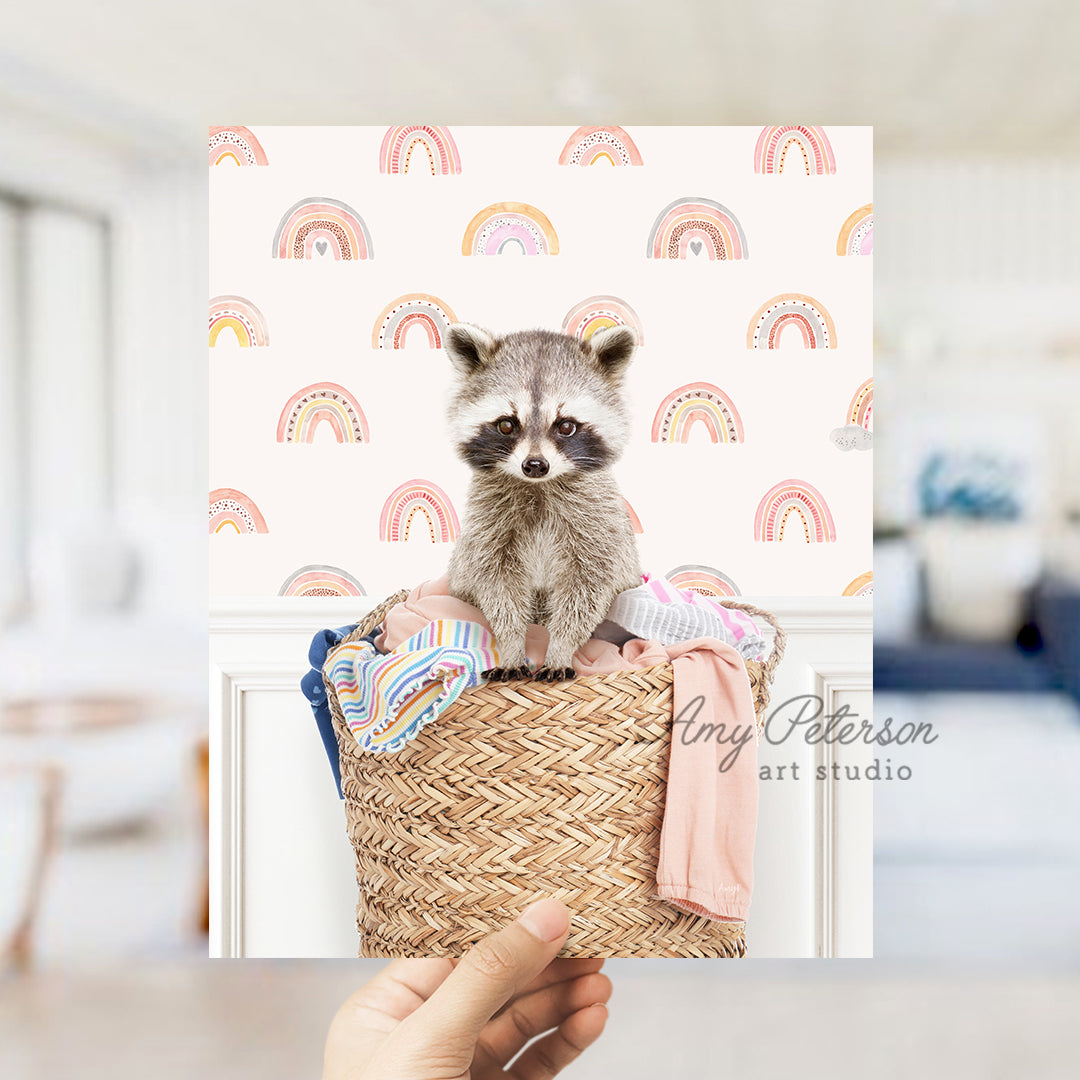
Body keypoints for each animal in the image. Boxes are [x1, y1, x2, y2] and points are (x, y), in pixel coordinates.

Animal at [444, 324, 639, 682]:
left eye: (566, 426)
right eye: (507, 424)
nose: (535, 465)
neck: (538, 487)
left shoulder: (597, 523)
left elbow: (587, 587)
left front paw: (560, 647)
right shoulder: (487, 525)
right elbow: (497, 585)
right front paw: (511, 644)